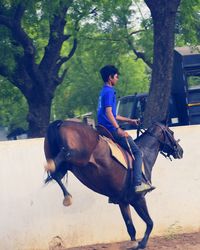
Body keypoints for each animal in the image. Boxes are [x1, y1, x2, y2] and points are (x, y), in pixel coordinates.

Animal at [43, 120, 183, 249]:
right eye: (171, 132)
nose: (180, 151)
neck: (144, 156)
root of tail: (61, 123)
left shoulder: (123, 201)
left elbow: (130, 226)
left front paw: (134, 243)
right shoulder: (138, 198)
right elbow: (150, 222)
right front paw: (142, 244)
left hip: (67, 165)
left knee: (55, 174)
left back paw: (67, 196)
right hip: (79, 157)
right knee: (65, 154)